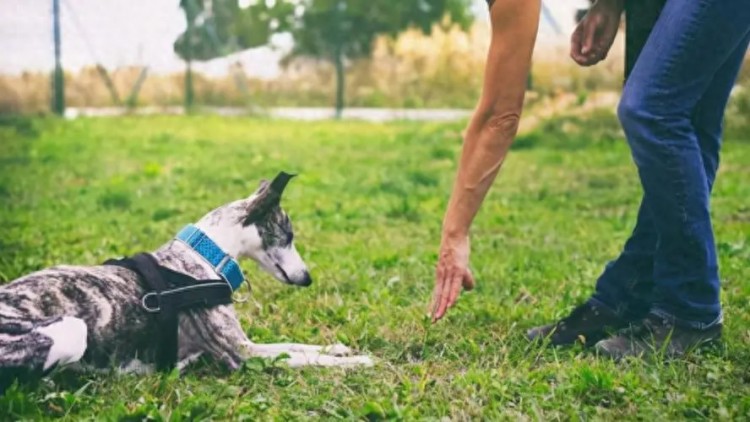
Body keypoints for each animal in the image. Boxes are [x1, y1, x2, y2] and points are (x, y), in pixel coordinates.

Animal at [0, 171, 374, 390]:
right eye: (289, 235)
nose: (308, 279)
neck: (203, 256)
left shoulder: (248, 345)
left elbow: (295, 345)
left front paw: (339, 348)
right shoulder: (242, 353)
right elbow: (305, 358)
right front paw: (357, 363)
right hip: (70, 330)